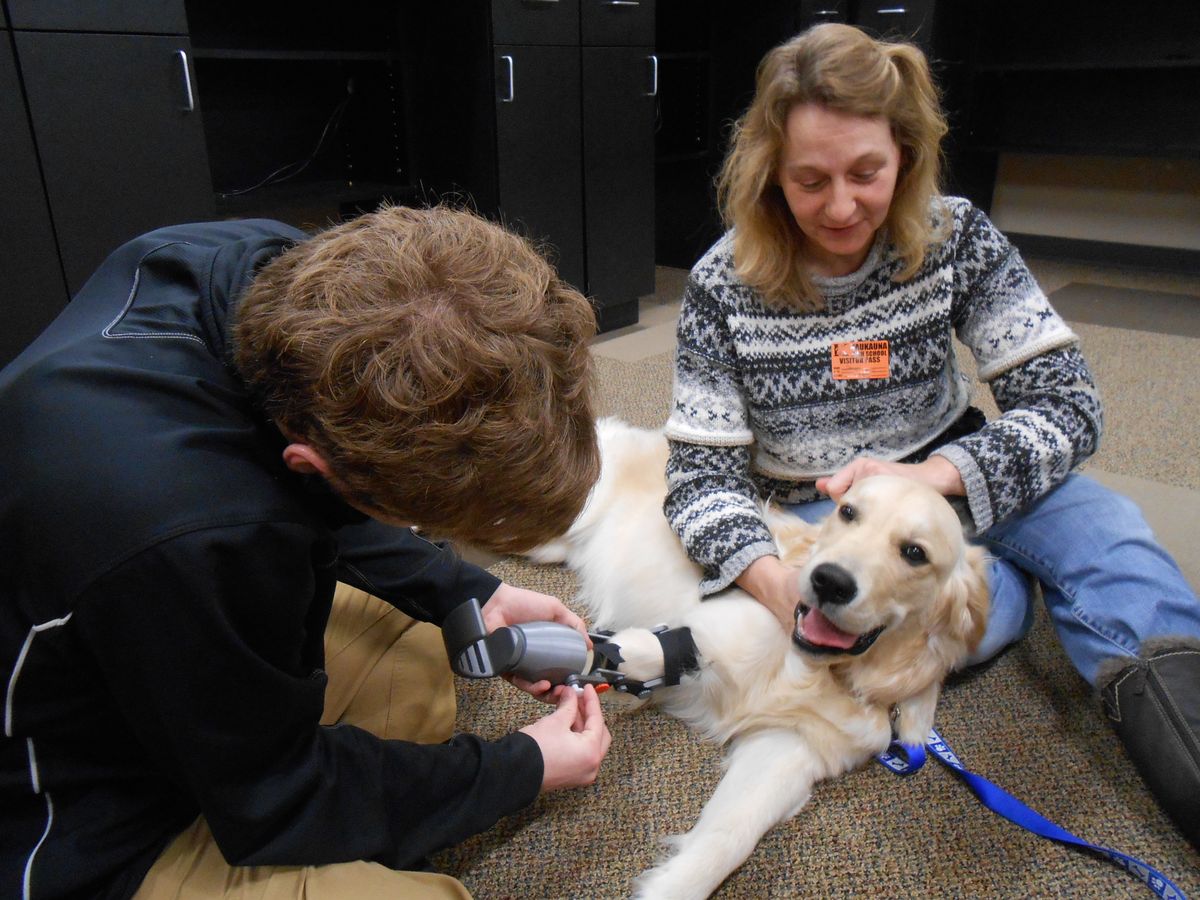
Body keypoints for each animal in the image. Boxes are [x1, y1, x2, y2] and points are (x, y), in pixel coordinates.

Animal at [530, 420, 988, 897]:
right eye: (847, 512)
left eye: (915, 553)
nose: (829, 581)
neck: (829, 671)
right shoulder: (701, 634)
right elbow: (607, 650)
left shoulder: (789, 748)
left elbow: (729, 839)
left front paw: (670, 883)